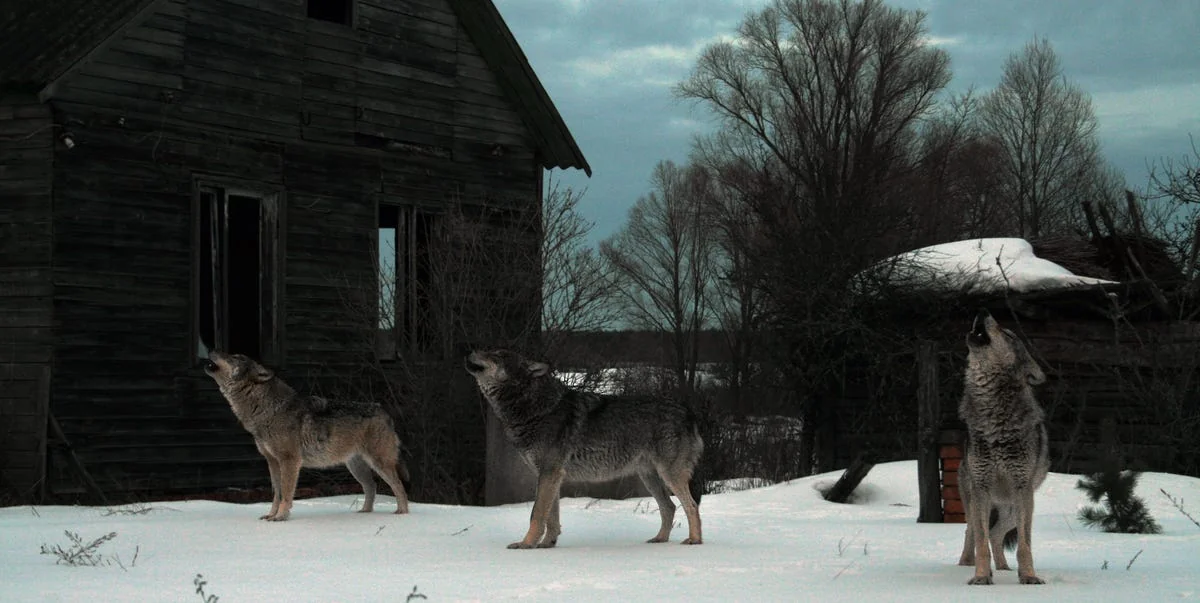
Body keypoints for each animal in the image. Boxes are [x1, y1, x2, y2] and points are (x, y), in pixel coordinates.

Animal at [204, 351, 410, 521]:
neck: (267, 409)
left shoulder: (290, 460)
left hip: (379, 463)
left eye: (235, 356)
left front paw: (281, 517)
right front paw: (271, 515)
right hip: (356, 467)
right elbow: (276, 494)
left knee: (399, 486)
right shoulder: (272, 461)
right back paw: (365, 513)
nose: (212, 350)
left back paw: (402, 513)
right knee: (371, 486)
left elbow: (286, 493)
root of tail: (384, 411)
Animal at [464, 349, 704, 549]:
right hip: (649, 477)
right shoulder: (550, 476)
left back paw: (694, 540)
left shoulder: (549, 473)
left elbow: (537, 514)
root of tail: (688, 411)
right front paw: (547, 544)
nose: (472, 350)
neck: (536, 408)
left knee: (691, 505)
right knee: (669, 507)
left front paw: (526, 544)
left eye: (498, 355)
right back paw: (660, 539)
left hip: (669, 475)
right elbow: (551, 517)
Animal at [956, 309, 1050, 585]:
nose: (983, 311)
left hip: (1012, 509)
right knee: (973, 532)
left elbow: (1024, 545)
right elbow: (981, 542)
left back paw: (1005, 569)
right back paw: (967, 564)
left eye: (1007, 334)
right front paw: (980, 577)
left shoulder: (1022, 490)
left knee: (996, 534)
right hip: (977, 501)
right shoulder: (982, 488)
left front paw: (1028, 576)